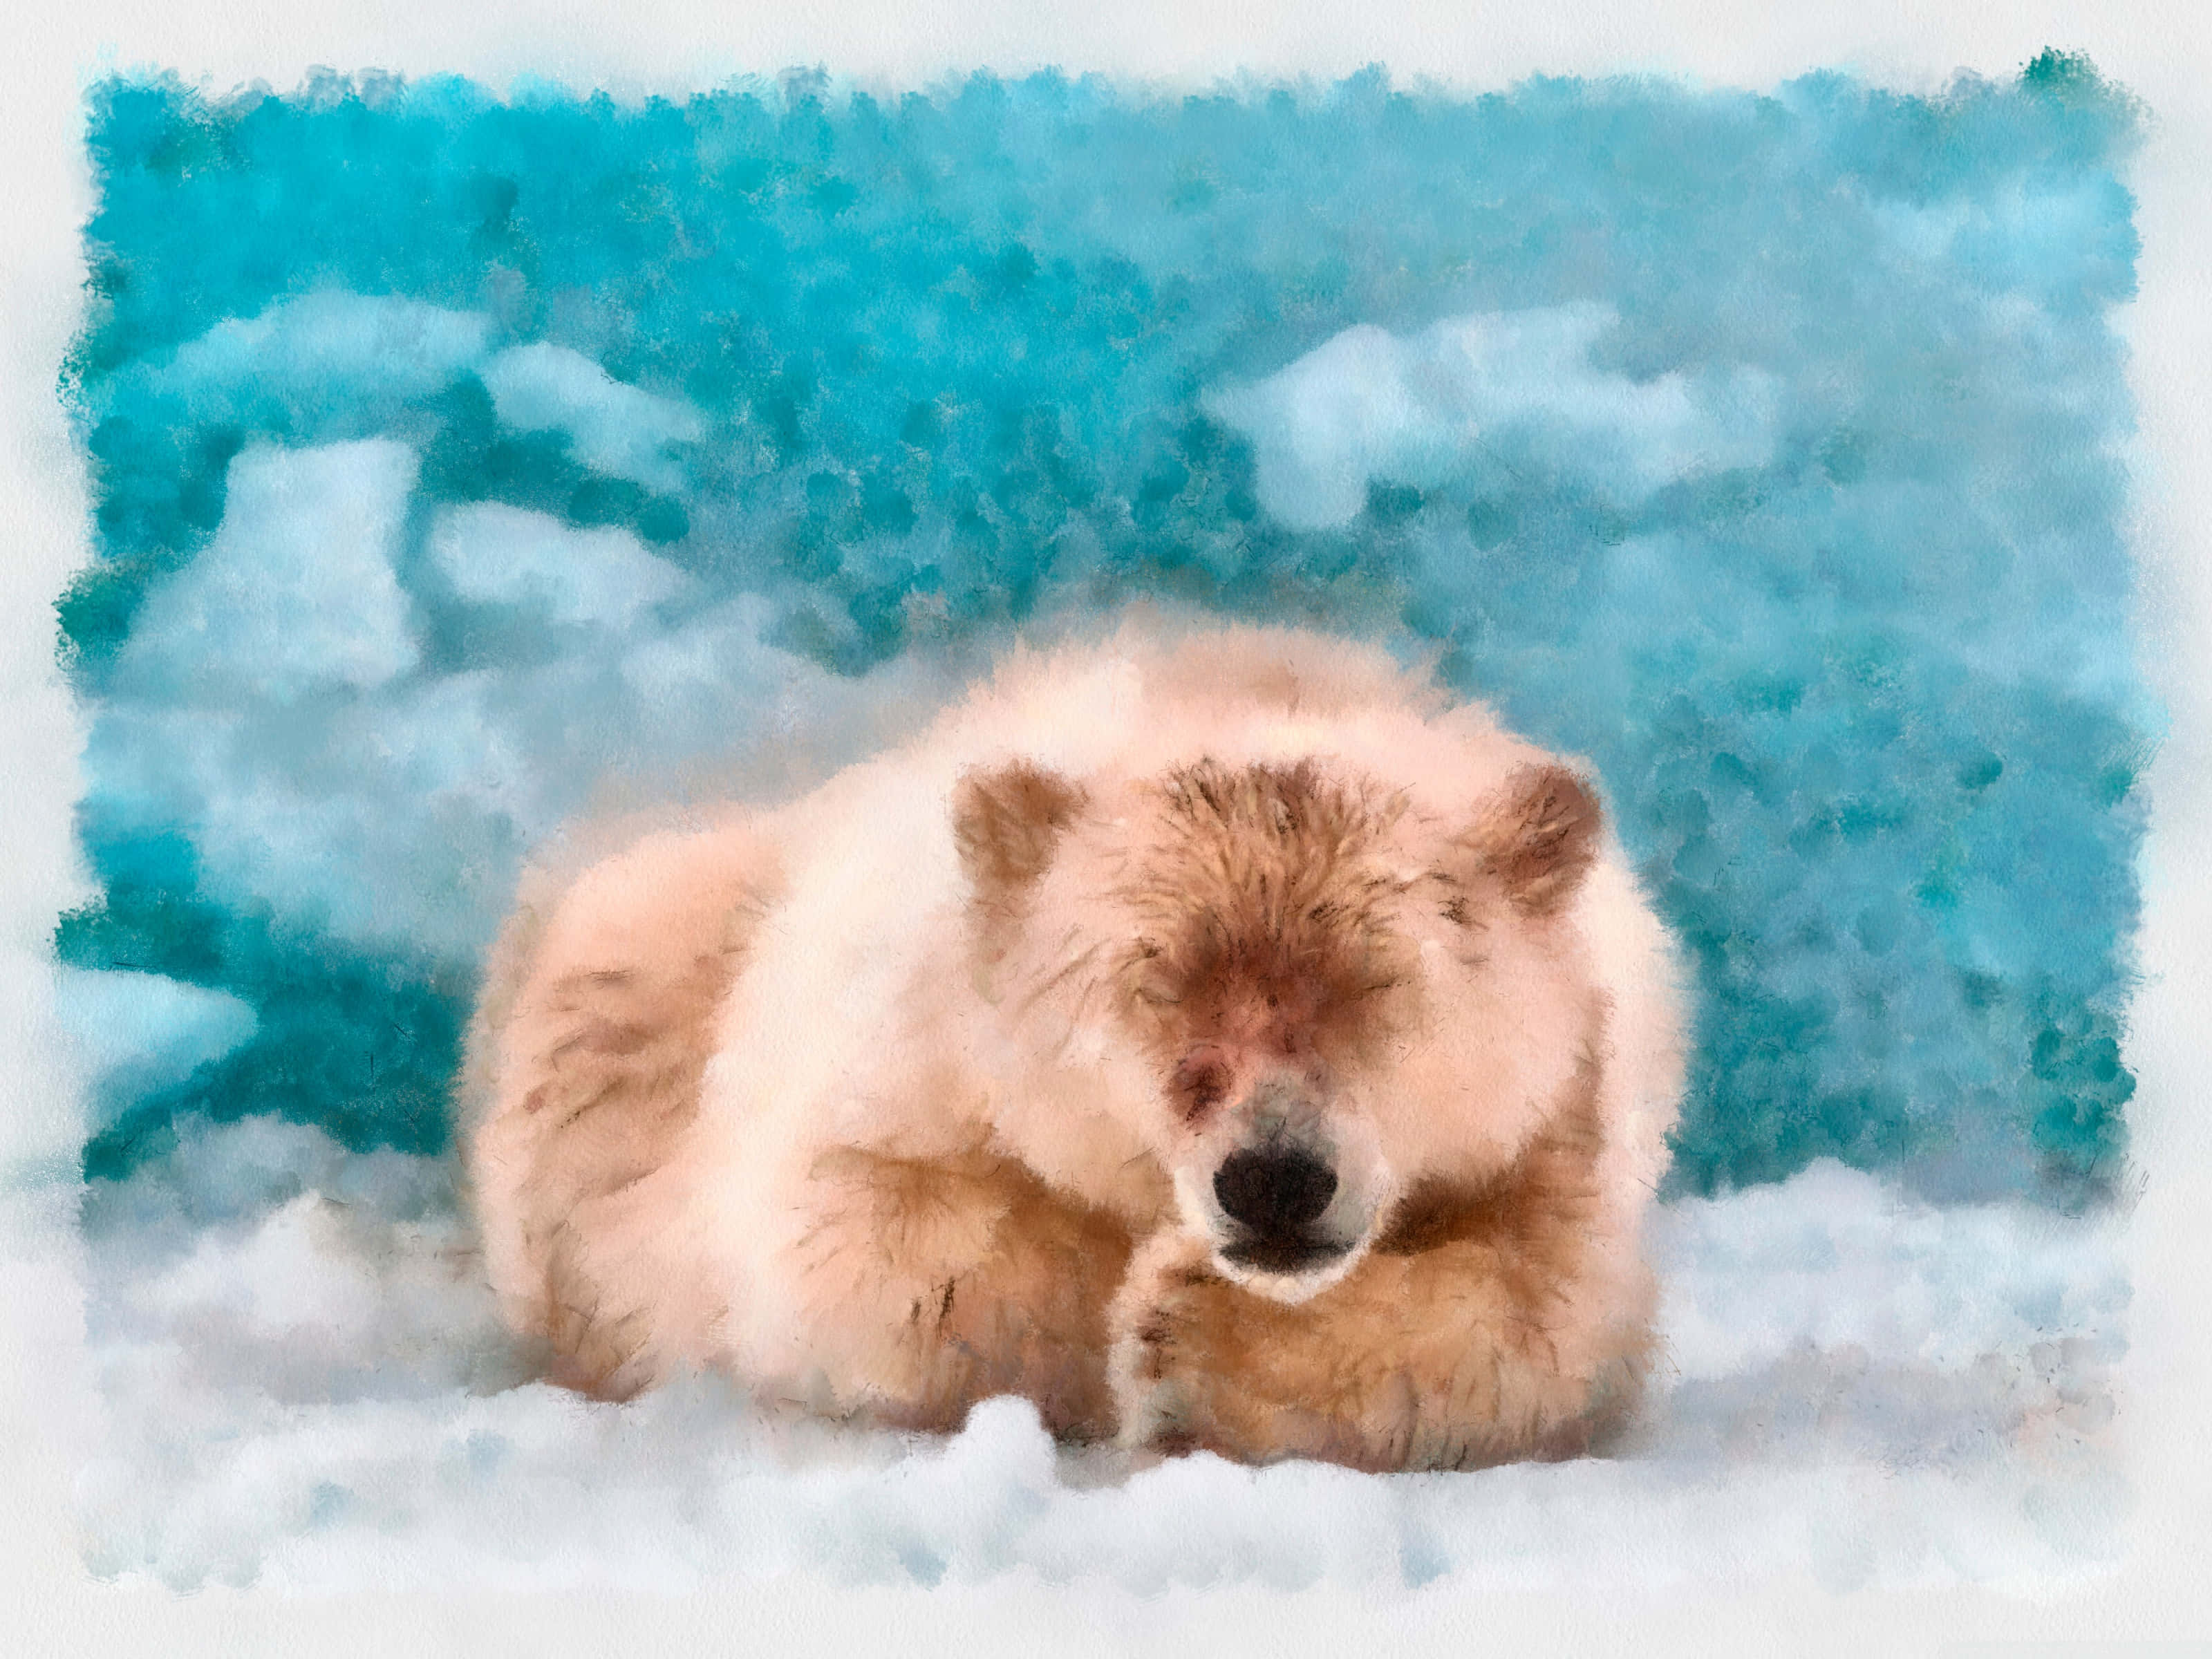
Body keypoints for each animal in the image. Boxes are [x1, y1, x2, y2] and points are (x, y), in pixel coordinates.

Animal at [461, 619, 1687, 1471]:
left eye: (1379, 983)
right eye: (1159, 983)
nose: (1275, 1179)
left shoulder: (1567, 1120)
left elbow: (1545, 1316)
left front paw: (1195, 1330)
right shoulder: (898, 1048)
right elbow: (854, 1246)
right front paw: (1137, 1308)